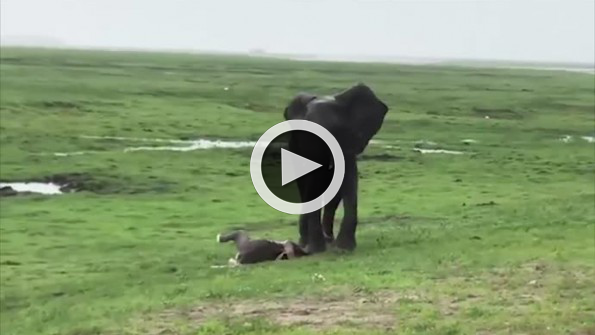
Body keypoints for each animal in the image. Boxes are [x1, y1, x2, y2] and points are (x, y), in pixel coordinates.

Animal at [286, 84, 392, 255]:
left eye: (335, 131)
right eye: (301, 132)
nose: (310, 250)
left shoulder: (347, 142)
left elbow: (349, 180)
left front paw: (344, 248)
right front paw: (317, 249)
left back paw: (328, 242)